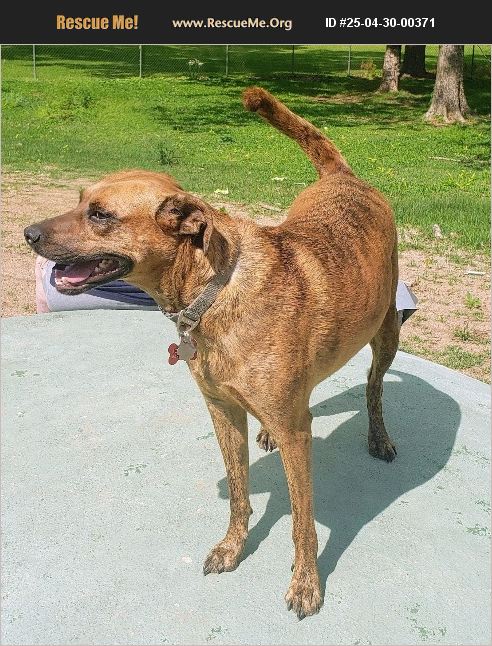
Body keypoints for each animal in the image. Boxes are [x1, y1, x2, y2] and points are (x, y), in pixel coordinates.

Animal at [24, 87, 400, 619]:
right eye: (78, 201)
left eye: (100, 215)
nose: (28, 234)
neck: (214, 288)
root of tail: (343, 177)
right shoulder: (221, 409)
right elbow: (239, 493)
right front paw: (232, 547)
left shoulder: (297, 433)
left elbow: (302, 520)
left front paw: (306, 583)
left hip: (386, 332)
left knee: (373, 387)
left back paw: (378, 436)